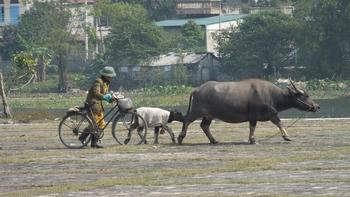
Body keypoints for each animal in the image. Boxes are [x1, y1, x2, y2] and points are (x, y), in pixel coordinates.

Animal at [178, 78, 320, 145]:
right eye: (305, 95)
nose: (317, 106)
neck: (271, 95)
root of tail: (197, 89)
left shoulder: (271, 113)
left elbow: (279, 123)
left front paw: (286, 136)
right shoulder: (254, 114)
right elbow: (252, 126)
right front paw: (252, 140)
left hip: (209, 116)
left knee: (204, 126)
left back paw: (214, 140)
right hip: (196, 111)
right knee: (187, 120)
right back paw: (180, 138)